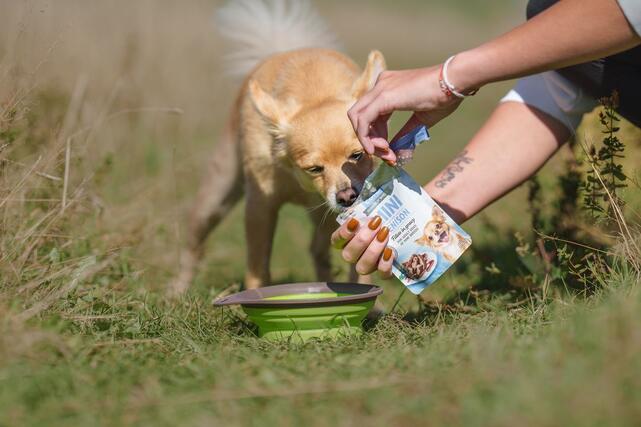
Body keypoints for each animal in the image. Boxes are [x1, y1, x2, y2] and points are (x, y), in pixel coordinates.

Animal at [168, 0, 384, 294]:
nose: (347, 196)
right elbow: (258, 265)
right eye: (314, 168)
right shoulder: (260, 208)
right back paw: (178, 290)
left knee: (317, 249)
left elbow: (359, 263)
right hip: (215, 197)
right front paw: (256, 295)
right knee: (195, 245)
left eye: (357, 155)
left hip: (323, 216)